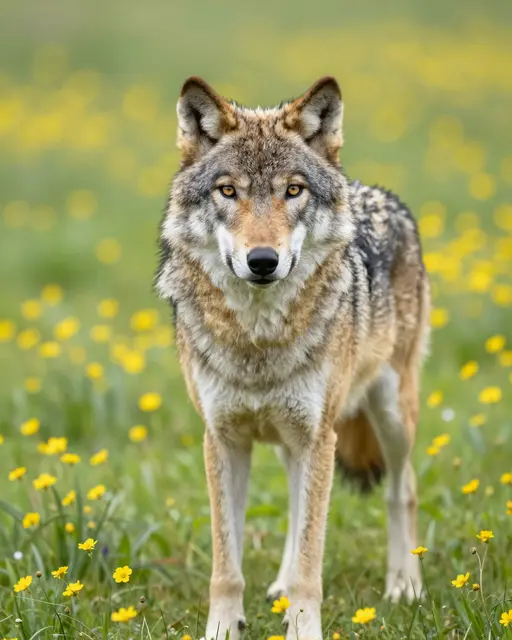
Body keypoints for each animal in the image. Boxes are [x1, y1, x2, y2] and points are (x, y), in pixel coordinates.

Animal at [156, 76, 430, 640]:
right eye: (228, 191)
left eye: (293, 191)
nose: (263, 261)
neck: (258, 341)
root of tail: (383, 194)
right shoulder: (223, 440)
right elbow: (227, 565)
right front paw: (223, 627)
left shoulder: (317, 437)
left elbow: (311, 558)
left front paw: (303, 628)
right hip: (294, 438)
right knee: (295, 498)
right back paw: (281, 585)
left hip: (390, 417)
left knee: (403, 489)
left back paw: (404, 585)